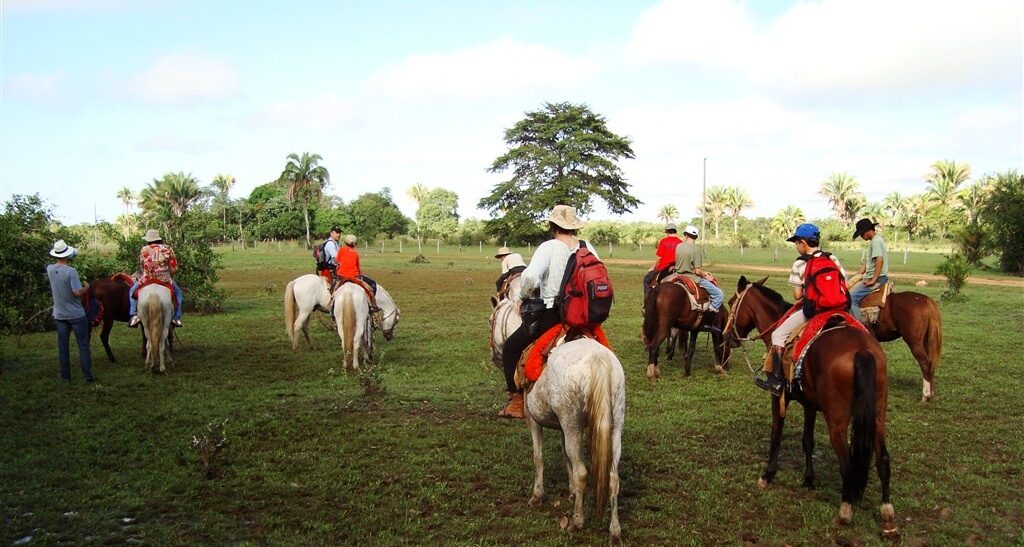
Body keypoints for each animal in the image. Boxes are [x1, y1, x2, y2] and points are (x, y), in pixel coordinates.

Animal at [528, 338, 622, 544]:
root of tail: (598, 358)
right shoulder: (562, 428)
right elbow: (565, 455)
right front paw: (571, 490)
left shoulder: (533, 420)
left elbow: (538, 457)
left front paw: (537, 495)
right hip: (615, 424)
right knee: (613, 477)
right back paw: (615, 532)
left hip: (571, 423)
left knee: (582, 472)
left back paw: (577, 521)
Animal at [720, 276, 897, 532]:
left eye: (733, 302)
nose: (727, 336)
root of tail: (863, 351)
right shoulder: (810, 405)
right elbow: (807, 441)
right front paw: (809, 479)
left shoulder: (778, 397)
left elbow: (776, 435)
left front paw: (767, 476)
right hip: (877, 414)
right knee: (882, 458)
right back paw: (887, 513)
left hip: (837, 420)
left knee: (847, 463)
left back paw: (845, 512)